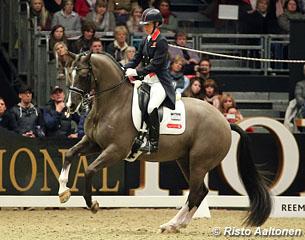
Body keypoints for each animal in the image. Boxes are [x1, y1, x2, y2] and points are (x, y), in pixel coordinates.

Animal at [57, 52, 270, 232]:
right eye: (69, 74)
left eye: (84, 74)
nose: (70, 106)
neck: (113, 102)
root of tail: (225, 122)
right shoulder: (94, 143)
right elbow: (70, 154)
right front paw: (63, 192)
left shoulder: (116, 150)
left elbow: (89, 170)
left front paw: (92, 204)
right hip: (185, 160)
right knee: (200, 192)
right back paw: (176, 225)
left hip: (199, 163)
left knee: (195, 193)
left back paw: (172, 224)